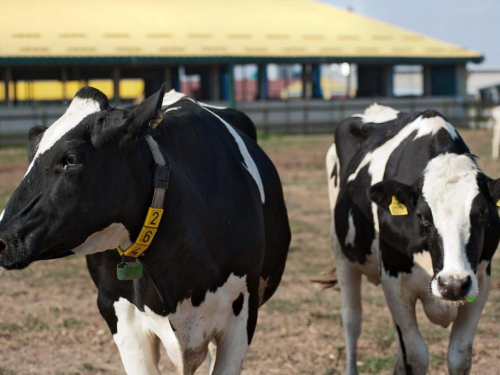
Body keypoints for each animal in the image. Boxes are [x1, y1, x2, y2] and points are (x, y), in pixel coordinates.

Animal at [326, 104, 500, 375]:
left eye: (482, 213)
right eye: (422, 216)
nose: (452, 285)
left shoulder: (480, 280)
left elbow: (459, 356)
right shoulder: (394, 280)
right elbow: (416, 357)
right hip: (341, 254)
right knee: (352, 321)